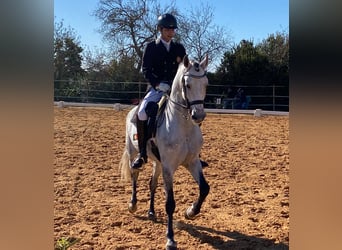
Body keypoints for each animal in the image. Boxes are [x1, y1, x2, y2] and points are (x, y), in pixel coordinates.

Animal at [120, 54, 211, 250]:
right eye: (187, 85)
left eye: (206, 84)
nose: (198, 116)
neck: (183, 126)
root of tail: (132, 110)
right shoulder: (169, 167)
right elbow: (170, 203)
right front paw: (170, 238)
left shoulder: (192, 162)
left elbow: (204, 189)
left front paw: (190, 211)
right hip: (134, 152)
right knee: (135, 175)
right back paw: (133, 204)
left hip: (158, 162)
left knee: (152, 184)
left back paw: (151, 212)